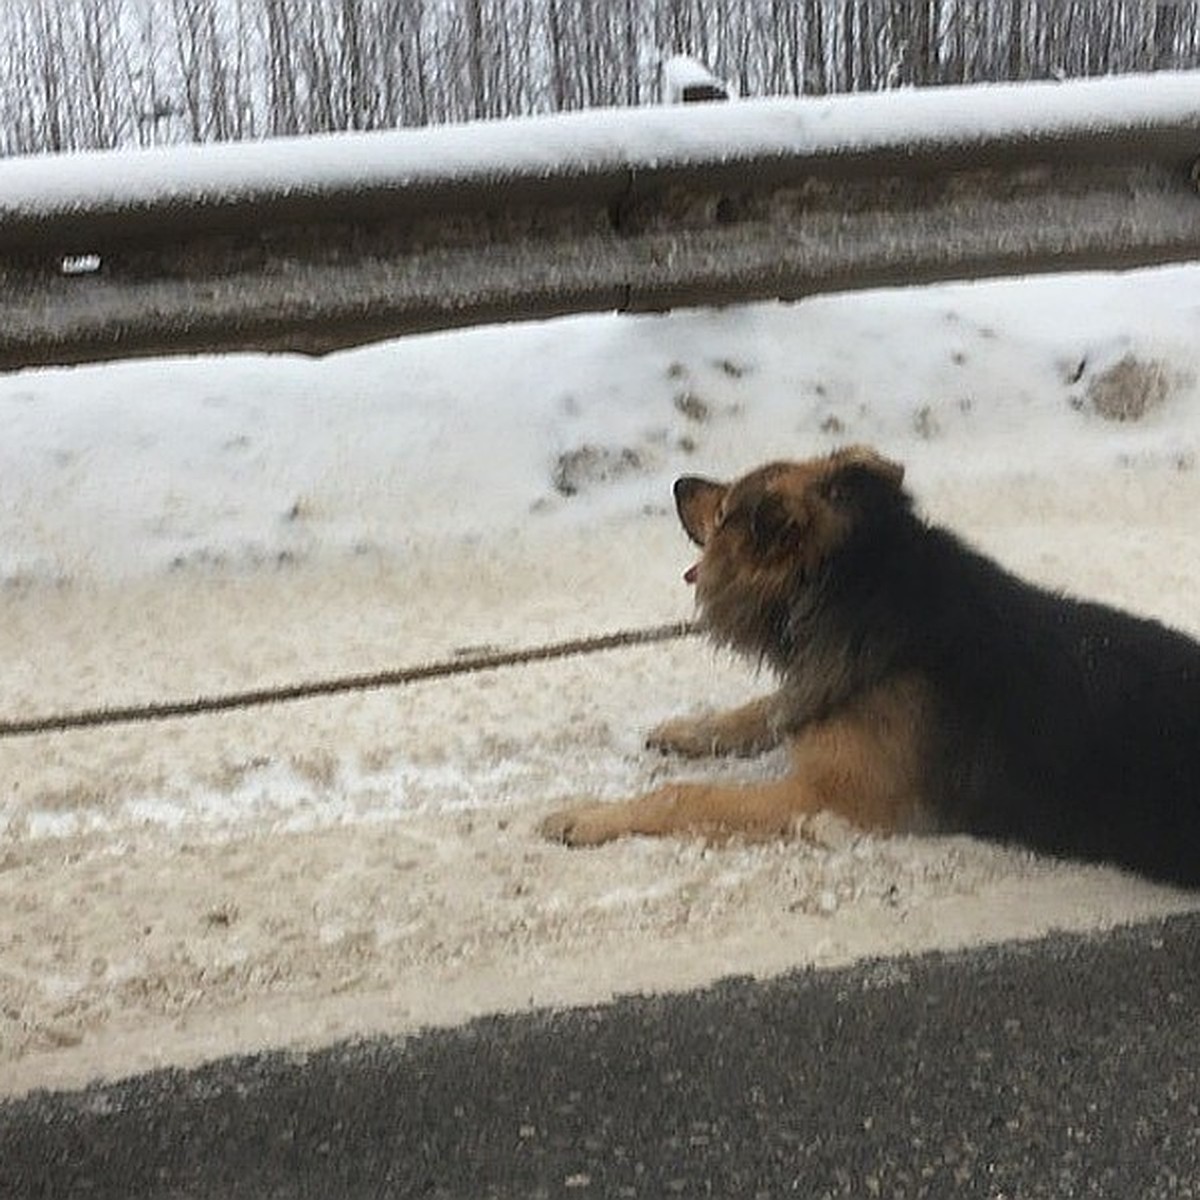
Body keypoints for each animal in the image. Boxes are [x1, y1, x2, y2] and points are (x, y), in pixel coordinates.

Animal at [542, 446, 1200, 888]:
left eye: (726, 507)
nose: (679, 483)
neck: (854, 582)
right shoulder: (817, 689)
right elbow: (764, 710)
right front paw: (688, 729)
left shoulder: (828, 799)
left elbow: (687, 797)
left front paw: (588, 817)